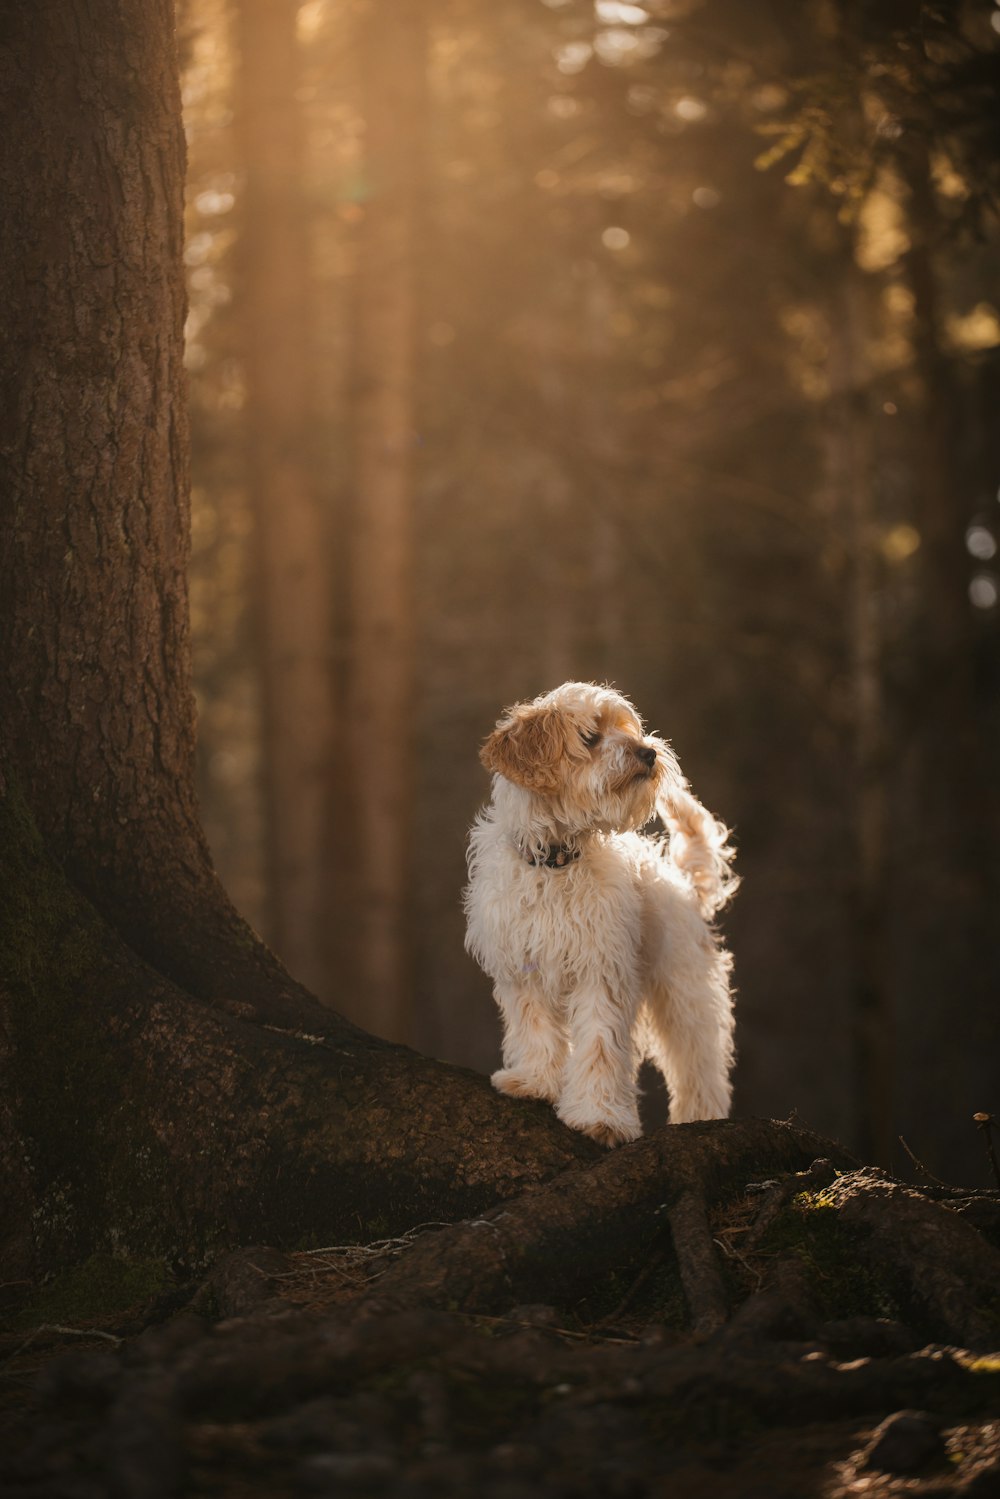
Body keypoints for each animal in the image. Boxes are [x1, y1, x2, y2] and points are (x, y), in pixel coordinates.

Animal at [464, 683, 740, 1145]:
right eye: (591, 737)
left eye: (627, 729)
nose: (648, 752)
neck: (555, 863)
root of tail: (681, 882)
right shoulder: (524, 970)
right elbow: (535, 1031)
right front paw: (534, 1082)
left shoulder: (600, 972)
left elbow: (598, 1046)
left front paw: (600, 1117)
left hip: (685, 995)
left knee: (699, 1066)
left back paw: (700, 1118)